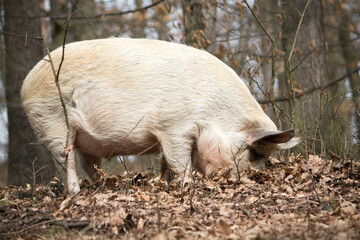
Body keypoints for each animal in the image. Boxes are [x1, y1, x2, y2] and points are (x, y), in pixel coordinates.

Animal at [21, 38, 300, 195]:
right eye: (254, 153)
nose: (253, 178)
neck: (213, 112)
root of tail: (26, 84)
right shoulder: (173, 127)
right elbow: (180, 163)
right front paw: (187, 186)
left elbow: (167, 164)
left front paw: (165, 186)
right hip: (51, 121)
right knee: (65, 161)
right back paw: (75, 193)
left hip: (83, 139)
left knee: (90, 165)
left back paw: (104, 188)